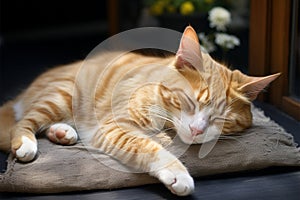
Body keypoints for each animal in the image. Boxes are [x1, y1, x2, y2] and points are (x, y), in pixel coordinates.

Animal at [0, 26, 278, 195]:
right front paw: (177, 172)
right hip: (62, 95)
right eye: (190, 102)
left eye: (221, 119)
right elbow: (146, 146)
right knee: (23, 122)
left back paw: (62, 132)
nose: (197, 130)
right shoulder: (116, 125)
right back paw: (26, 141)